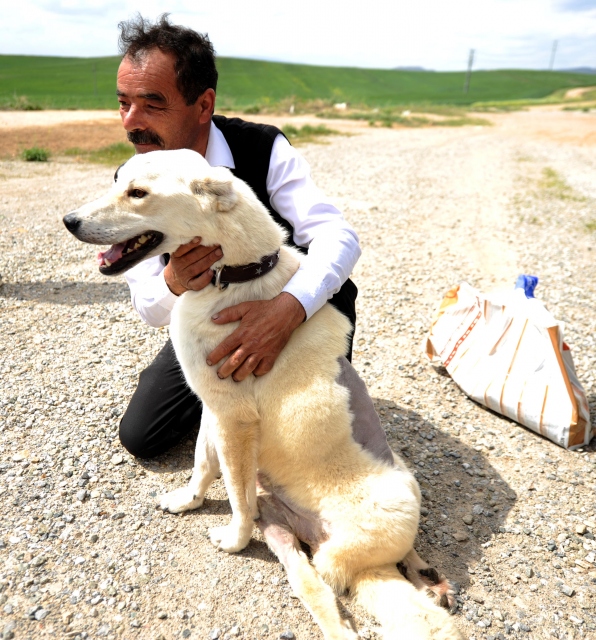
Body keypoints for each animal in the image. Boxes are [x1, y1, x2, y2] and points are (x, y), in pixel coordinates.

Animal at [64, 149, 462, 640]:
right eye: (118, 182)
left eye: (137, 193)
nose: (68, 221)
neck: (231, 276)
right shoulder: (213, 409)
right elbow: (202, 464)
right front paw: (188, 502)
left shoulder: (234, 420)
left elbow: (235, 495)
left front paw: (233, 541)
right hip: (283, 535)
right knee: (318, 589)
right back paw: (427, 579)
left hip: (338, 550)